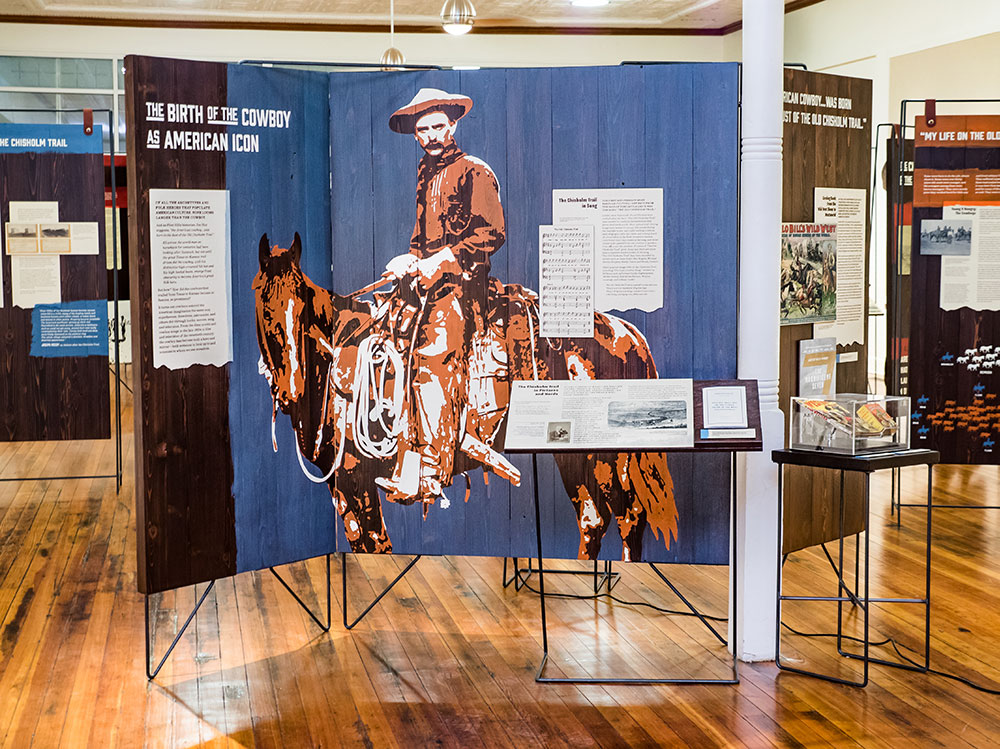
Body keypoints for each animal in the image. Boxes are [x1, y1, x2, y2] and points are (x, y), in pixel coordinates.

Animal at [254, 234, 680, 560]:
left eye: (301, 308)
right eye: (266, 310)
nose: (291, 389)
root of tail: (625, 333)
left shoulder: (353, 483)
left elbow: (375, 546)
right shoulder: (344, 488)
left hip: (607, 457)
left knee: (628, 517)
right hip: (576, 457)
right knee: (595, 519)